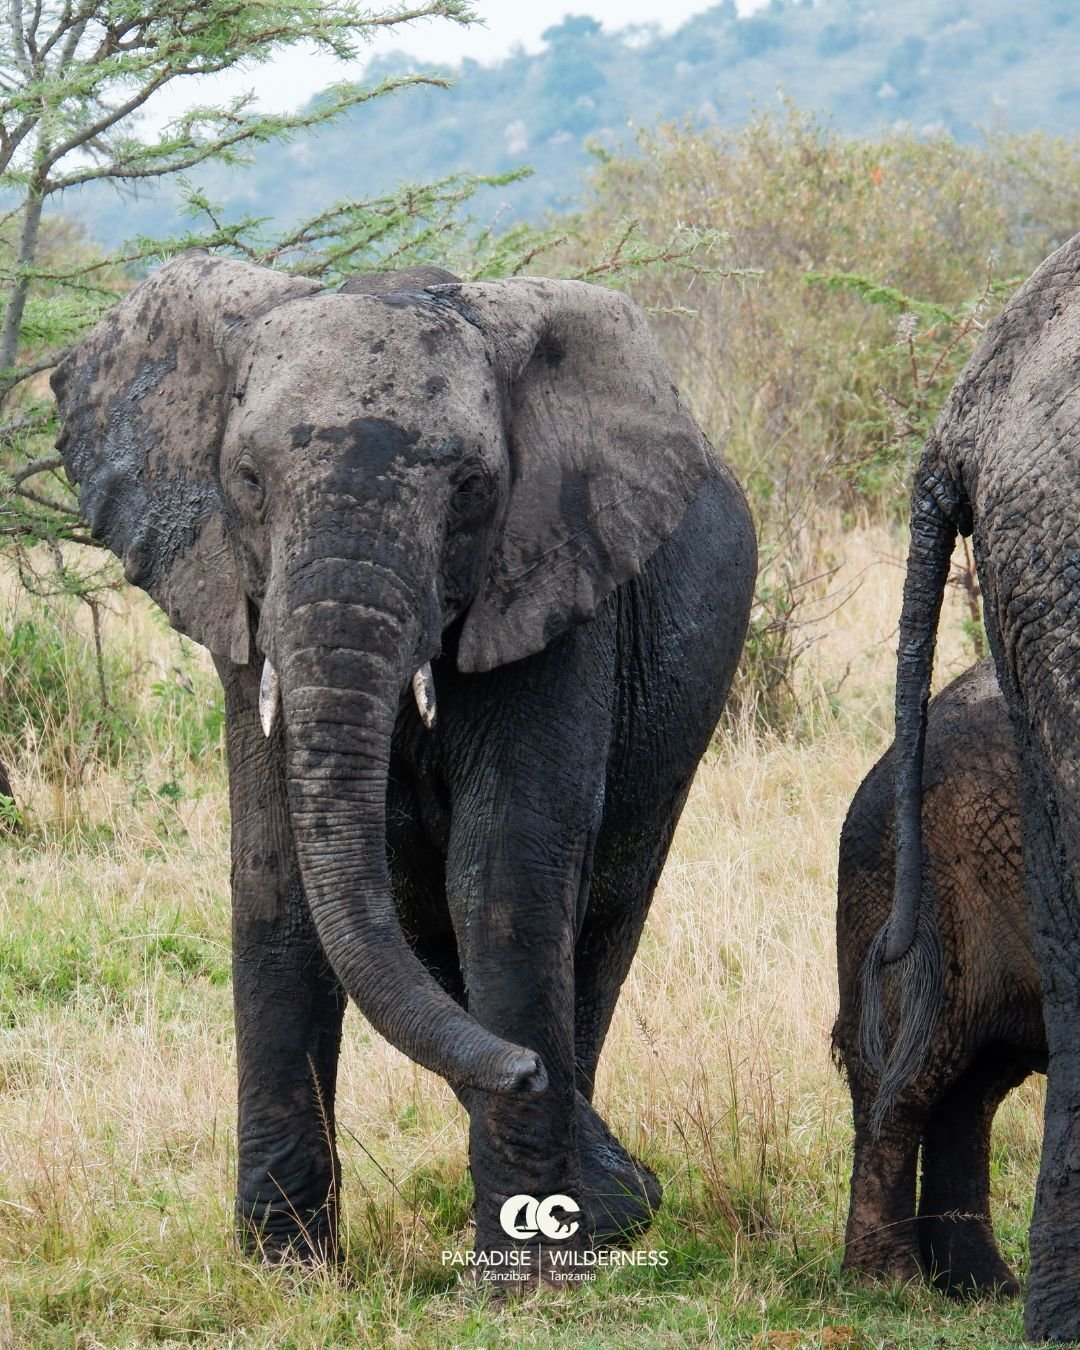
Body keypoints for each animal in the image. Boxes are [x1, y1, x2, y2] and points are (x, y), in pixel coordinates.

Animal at [50, 252, 755, 1281]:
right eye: (247, 478)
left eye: (471, 488)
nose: (525, 1070)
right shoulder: (242, 610)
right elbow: (276, 880)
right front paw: (288, 1275)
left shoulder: (552, 589)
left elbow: (503, 878)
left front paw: (523, 1280)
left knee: (599, 918)